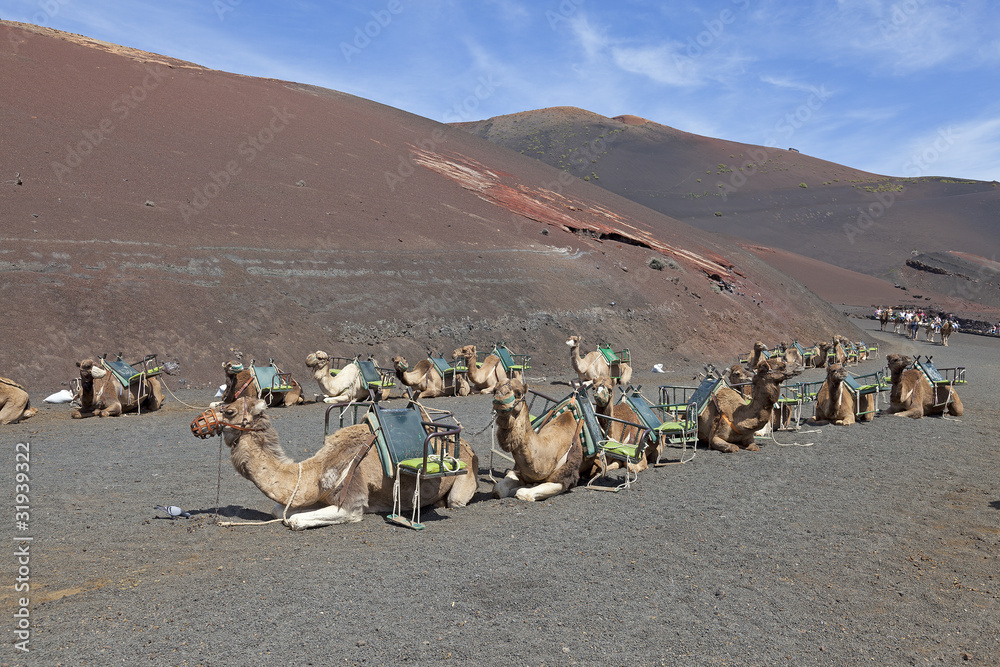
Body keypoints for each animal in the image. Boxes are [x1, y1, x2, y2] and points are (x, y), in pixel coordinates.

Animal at [194, 396, 480, 532]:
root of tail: (465, 444)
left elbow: (294, 521)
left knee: (456, 500)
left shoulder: (352, 500)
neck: (316, 470)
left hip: (462, 479)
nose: (196, 423)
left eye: (229, 411)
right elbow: (279, 511)